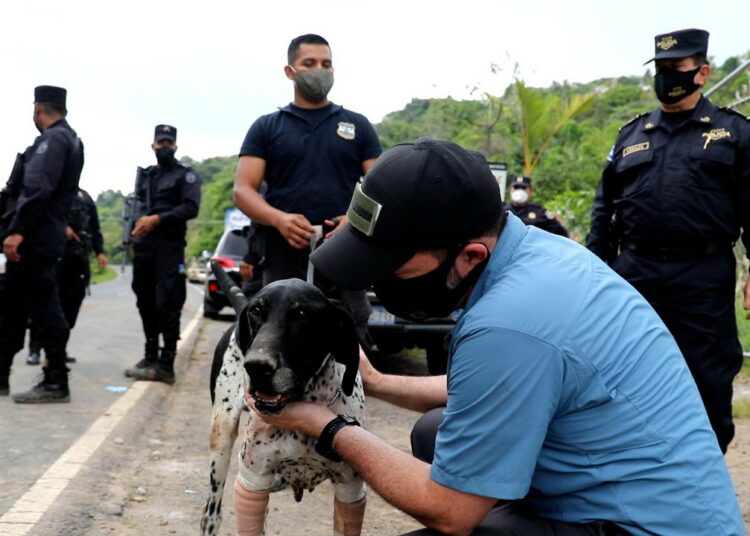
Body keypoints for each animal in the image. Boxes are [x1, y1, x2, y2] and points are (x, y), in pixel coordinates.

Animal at [198, 264, 366, 536]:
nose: (256, 366)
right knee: (212, 511)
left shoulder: (349, 489)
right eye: (256, 310)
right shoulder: (254, 478)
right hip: (221, 440)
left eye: (302, 313)